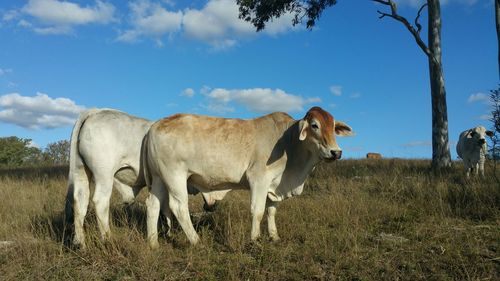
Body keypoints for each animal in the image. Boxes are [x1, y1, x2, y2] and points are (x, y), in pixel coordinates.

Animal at [66, 108, 229, 248]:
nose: (213, 206)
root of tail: (95, 112)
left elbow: (165, 208)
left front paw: (167, 232)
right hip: (104, 175)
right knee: (100, 202)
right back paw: (108, 239)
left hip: (80, 171)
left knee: (80, 201)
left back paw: (80, 243)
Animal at [144, 106, 356, 246]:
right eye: (314, 125)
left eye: (333, 126)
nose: (336, 152)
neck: (289, 143)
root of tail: (155, 125)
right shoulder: (259, 179)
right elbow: (258, 211)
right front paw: (255, 239)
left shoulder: (274, 186)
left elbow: (271, 211)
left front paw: (274, 236)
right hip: (175, 176)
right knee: (178, 207)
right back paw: (196, 241)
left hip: (159, 178)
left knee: (153, 205)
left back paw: (153, 242)